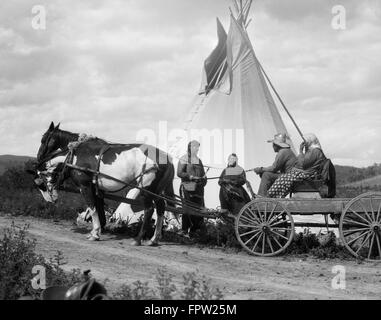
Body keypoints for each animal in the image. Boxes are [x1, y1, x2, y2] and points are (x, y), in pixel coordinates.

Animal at [36, 122, 174, 245]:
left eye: (43, 139)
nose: (39, 157)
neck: (78, 152)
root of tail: (166, 158)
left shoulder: (85, 186)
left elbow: (92, 207)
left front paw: (95, 233)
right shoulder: (97, 188)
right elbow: (99, 208)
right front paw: (97, 230)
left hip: (146, 189)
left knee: (149, 210)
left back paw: (138, 239)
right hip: (157, 190)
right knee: (161, 208)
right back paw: (154, 239)